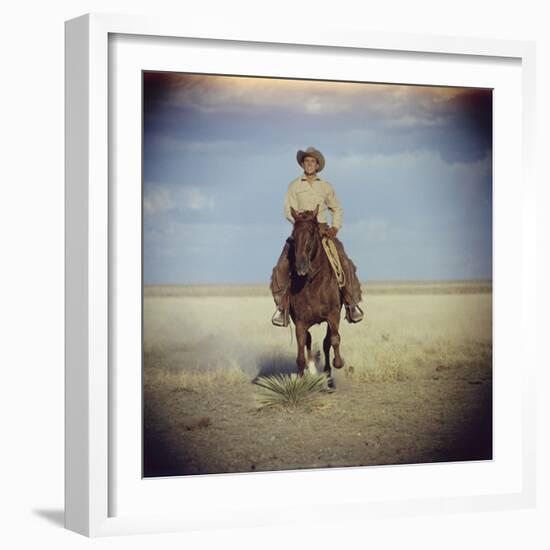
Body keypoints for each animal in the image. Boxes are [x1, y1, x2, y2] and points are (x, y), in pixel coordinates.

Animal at [288, 205, 344, 390]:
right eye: (294, 234)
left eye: (312, 233)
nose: (301, 267)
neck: (313, 282)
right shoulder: (300, 322)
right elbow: (300, 355)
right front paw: (301, 382)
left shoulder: (333, 315)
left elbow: (333, 340)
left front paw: (338, 363)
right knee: (309, 341)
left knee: (327, 342)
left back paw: (328, 377)